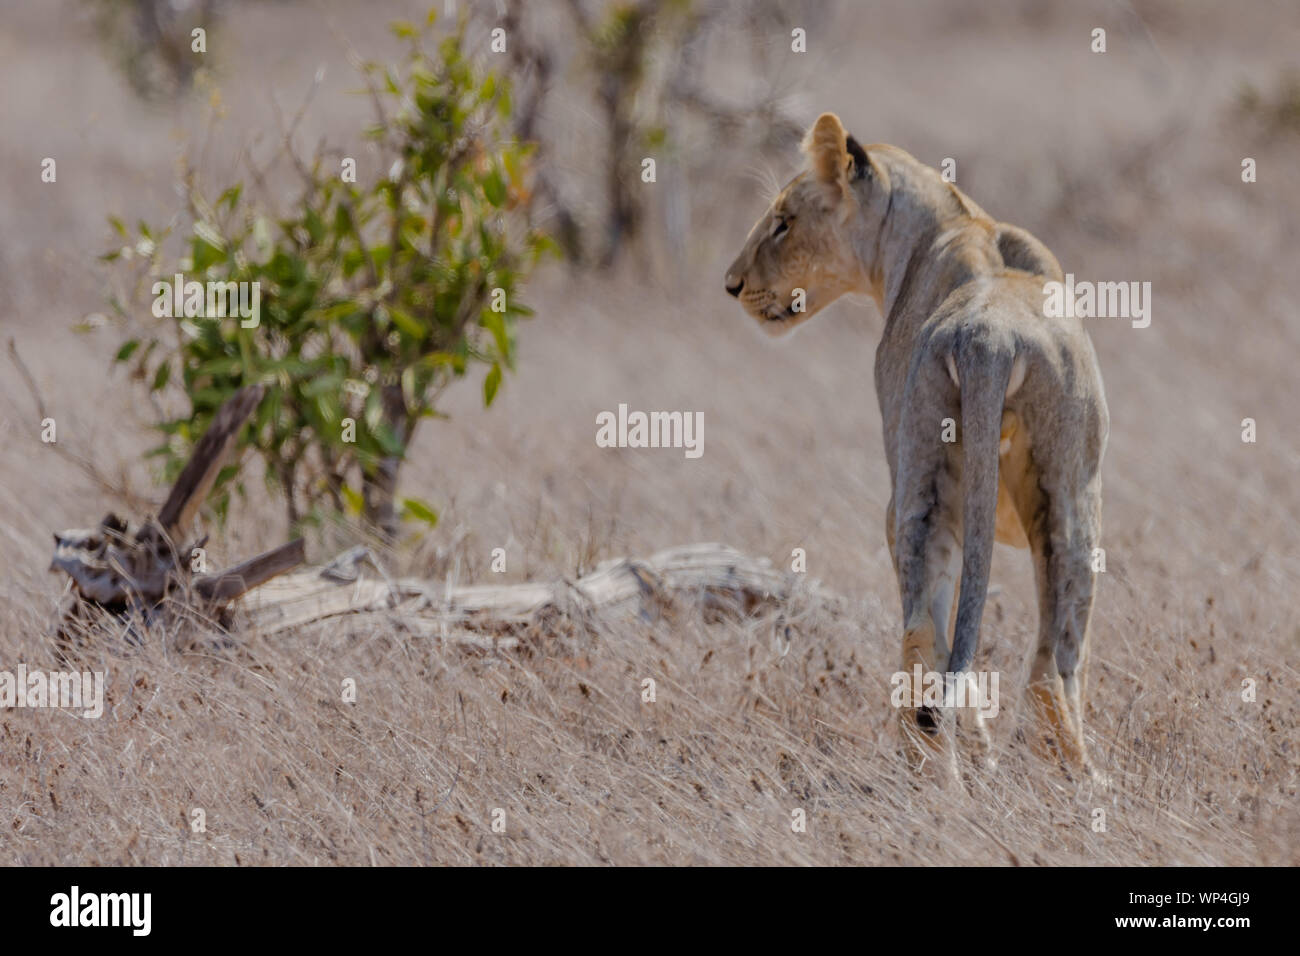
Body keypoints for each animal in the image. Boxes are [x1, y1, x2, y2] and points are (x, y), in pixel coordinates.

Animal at [722, 113, 1107, 785]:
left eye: (783, 221)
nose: (731, 284)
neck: (942, 227)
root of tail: (990, 335)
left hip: (926, 491)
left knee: (929, 636)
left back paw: (941, 774)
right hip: (1067, 494)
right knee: (1051, 656)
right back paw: (1067, 780)